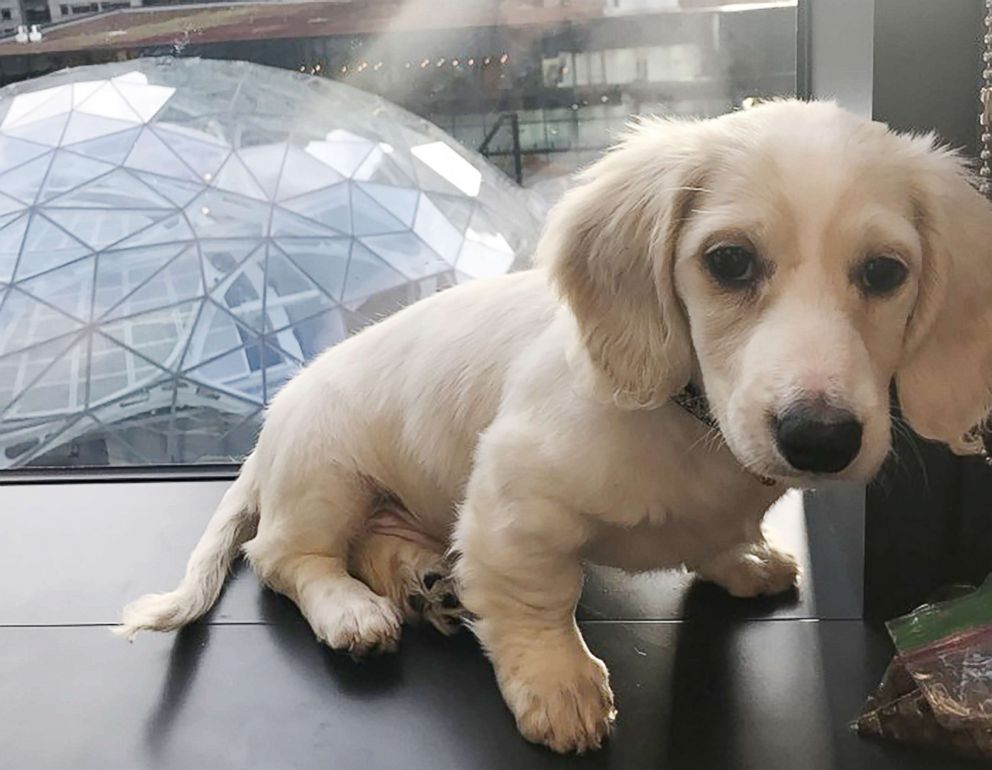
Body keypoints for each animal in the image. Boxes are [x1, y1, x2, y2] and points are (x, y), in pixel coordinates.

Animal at [116, 100, 992, 752]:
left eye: (885, 272)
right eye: (730, 261)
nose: (821, 439)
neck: (689, 423)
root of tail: (269, 425)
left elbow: (718, 540)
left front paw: (740, 559)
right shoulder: (514, 503)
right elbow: (537, 600)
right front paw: (560, 686)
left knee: (375, 545)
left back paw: (423, 581)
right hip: (325, 478)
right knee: (286, 558)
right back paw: (353, 610)